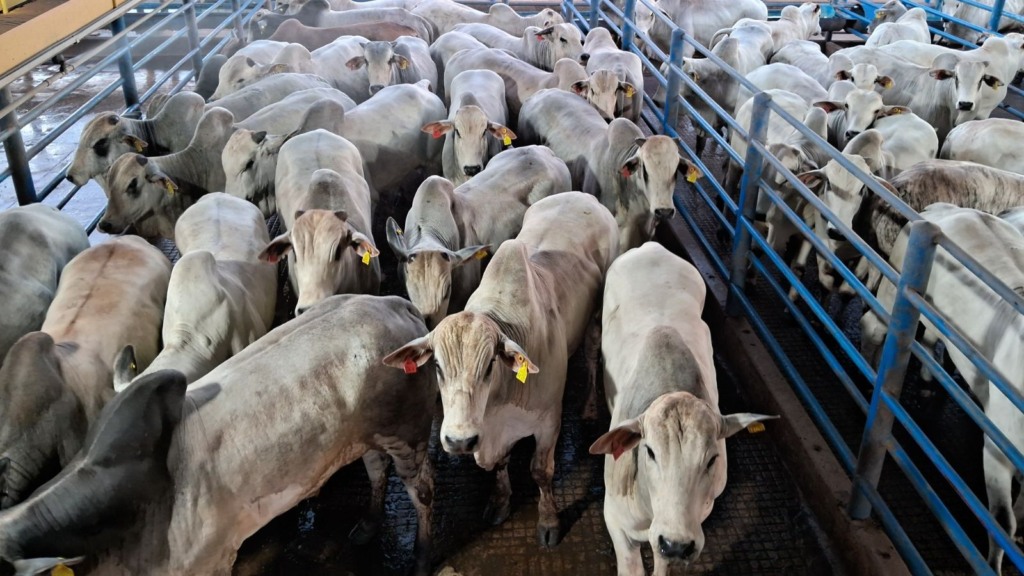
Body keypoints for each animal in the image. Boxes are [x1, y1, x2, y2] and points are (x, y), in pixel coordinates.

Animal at [385, 189, 614, 545]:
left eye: (491, 364)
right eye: (436, 365)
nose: (459, 440)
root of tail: (582, 195)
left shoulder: (549, 420)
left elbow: (541, 472)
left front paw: (548, 521)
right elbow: (501, 465)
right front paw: (501, 500)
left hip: (596, 314)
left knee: (591, 354)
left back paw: (590, 406)